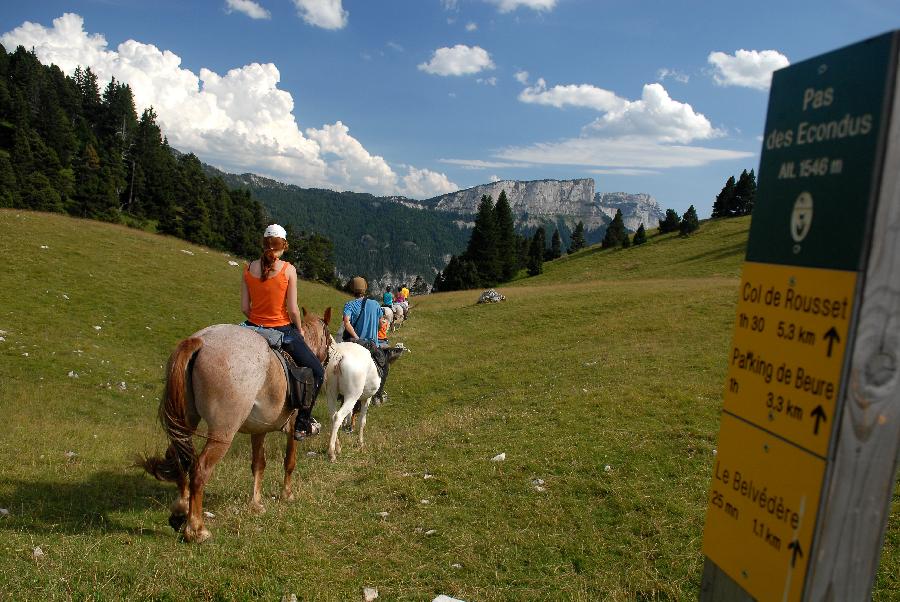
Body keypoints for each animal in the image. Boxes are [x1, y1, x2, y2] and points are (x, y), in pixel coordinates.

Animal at [142, 308, 332, 540]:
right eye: (329, 340)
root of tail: (201, 341)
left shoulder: (259, 430)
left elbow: (258, 464)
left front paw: (256, 504)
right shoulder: (293, 426)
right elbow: (290, 461)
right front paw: (287, 494)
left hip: (186, 423)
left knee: (178, 457)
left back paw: (180, 511)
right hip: (223, 433)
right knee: (200, 469)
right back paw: (196, 529)